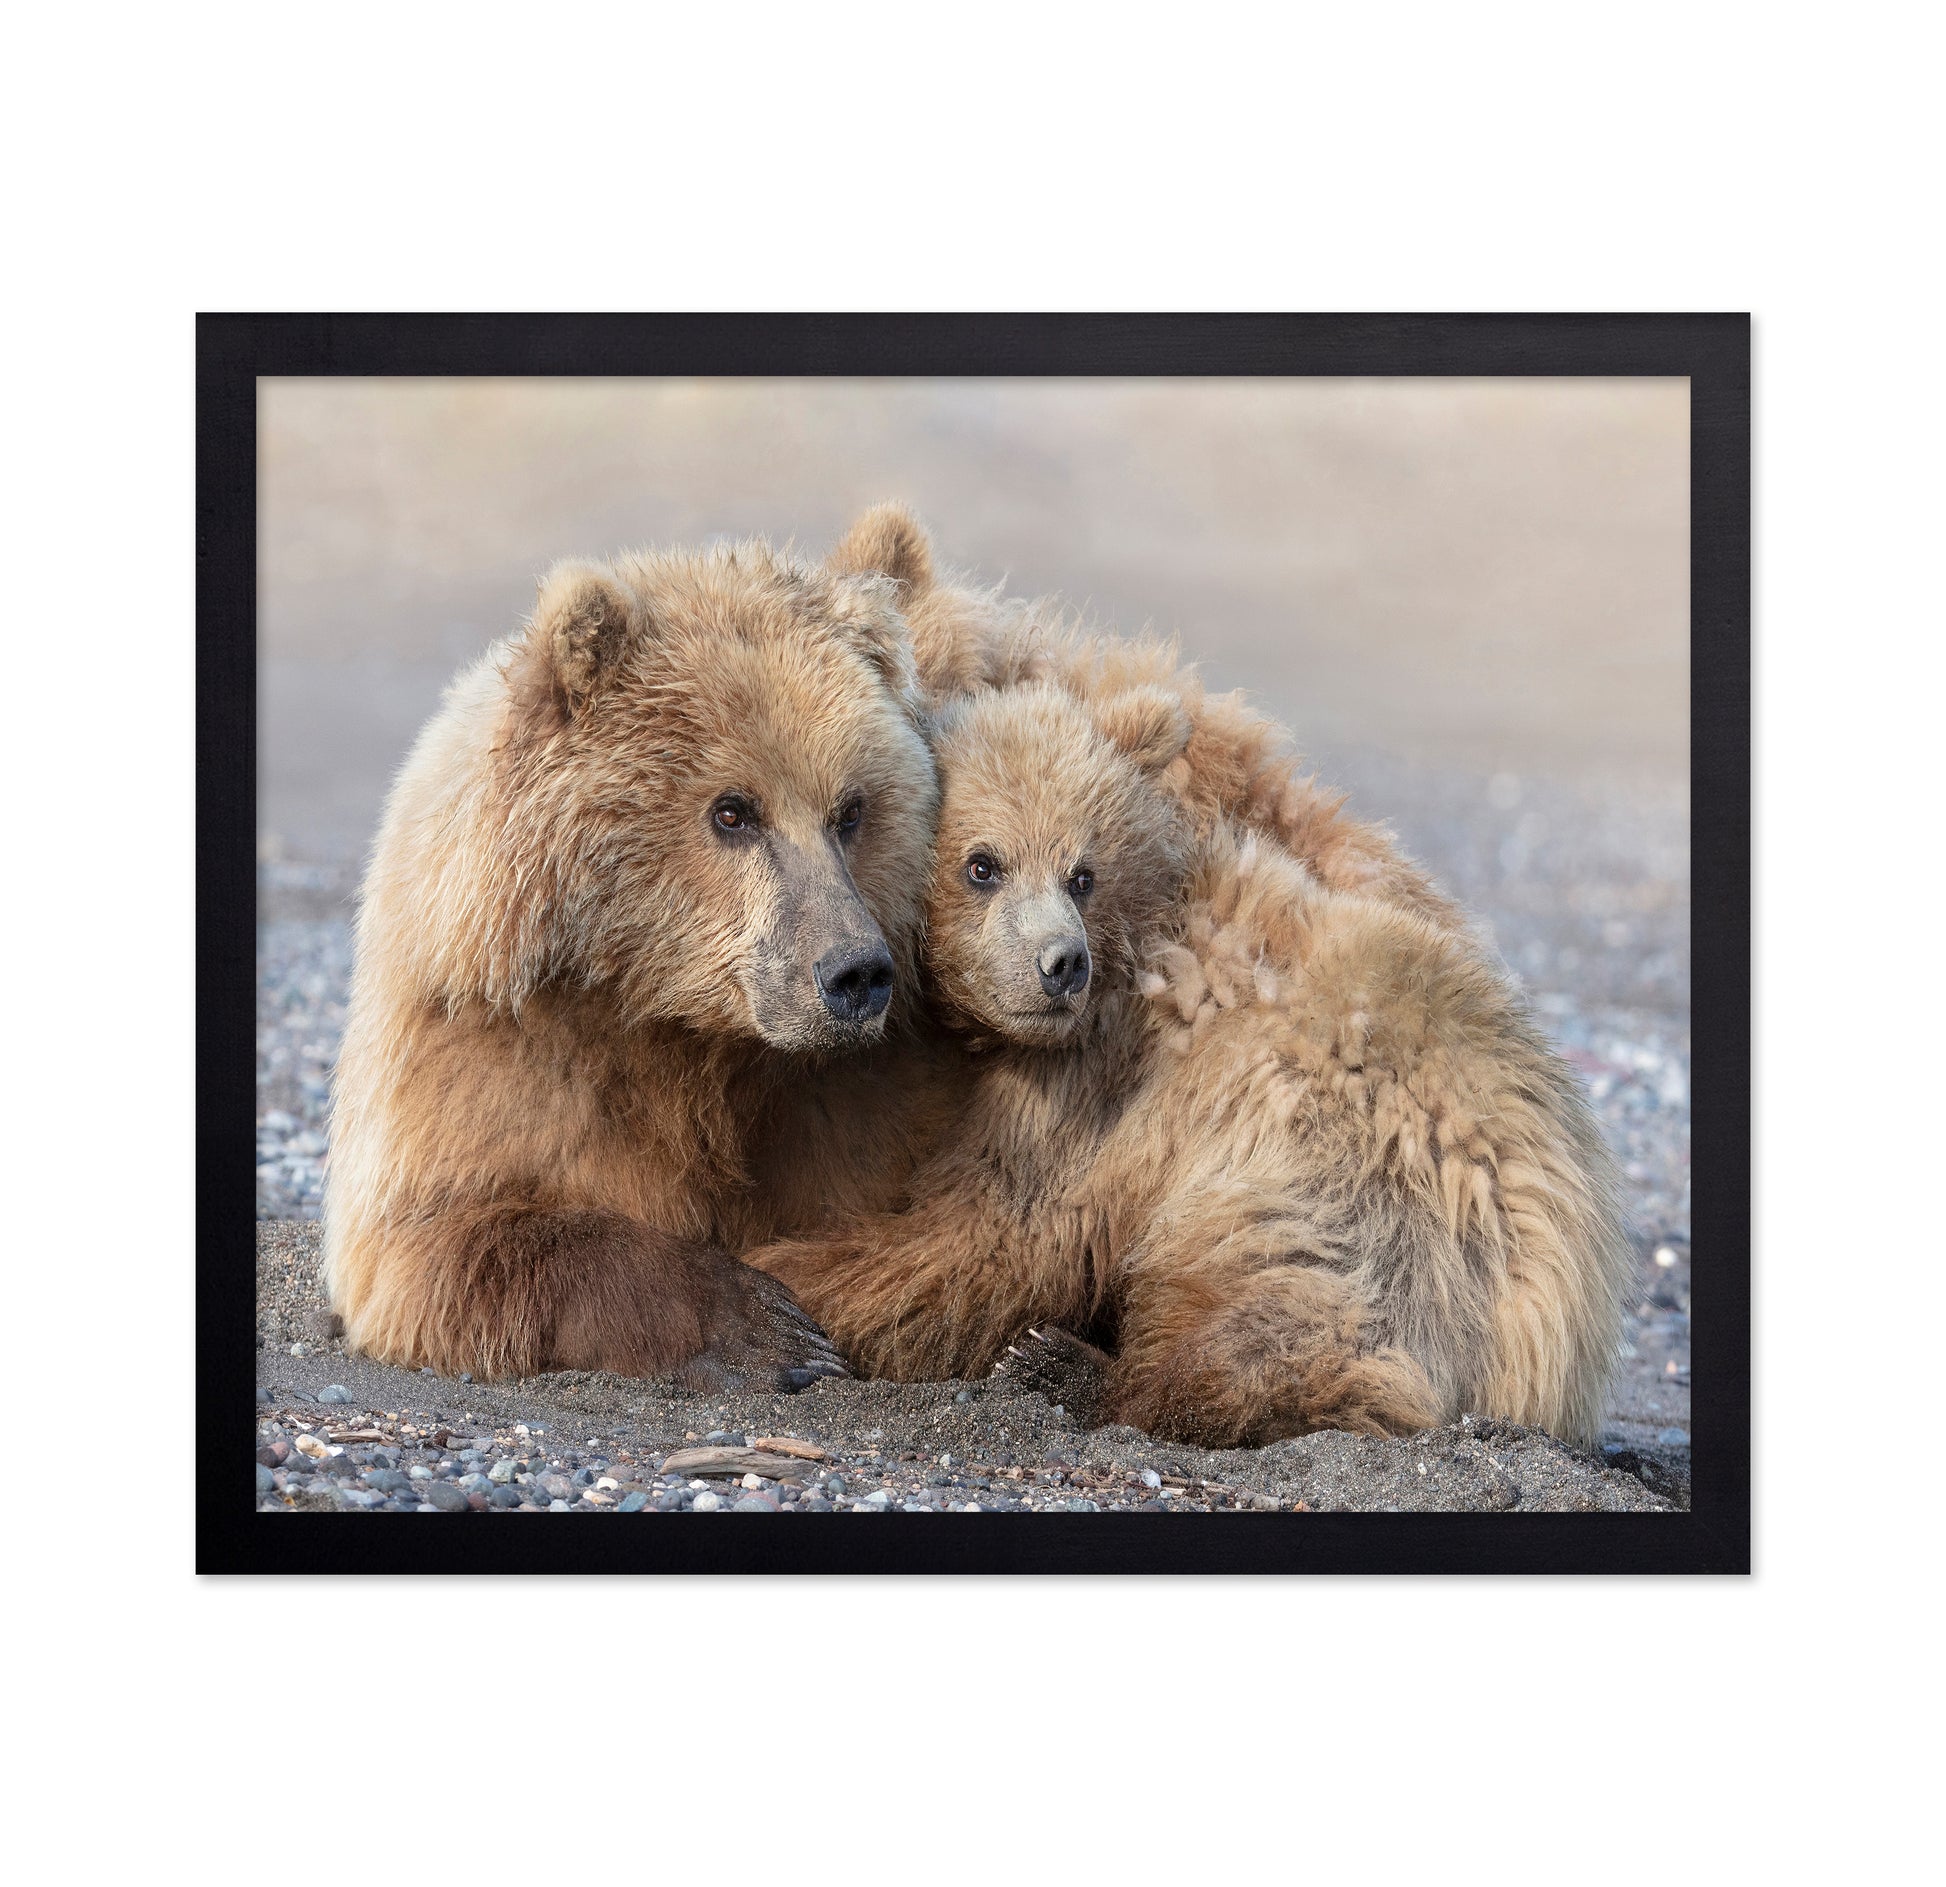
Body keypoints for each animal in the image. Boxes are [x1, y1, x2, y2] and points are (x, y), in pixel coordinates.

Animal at [323, 531, 966, 1386]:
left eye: (851, 810)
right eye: (733, 810)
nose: (854, 973)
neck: (675, 1026)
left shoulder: (859, 1099)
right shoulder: (487, 1058)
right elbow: (442, 1242)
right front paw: (767, 1324)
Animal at [748, 679, 1631, 1447]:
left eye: (1082, 871)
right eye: (982, 863)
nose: (1059, 963)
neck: (1134, 953)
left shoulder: (1098, 1090)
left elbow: (988, 1233)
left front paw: (779, 1277)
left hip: (1351, 1191)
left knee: (1282, 1323)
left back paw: (1067, 1366)